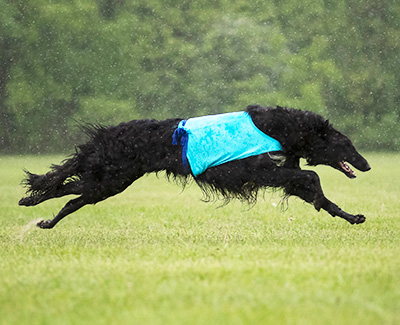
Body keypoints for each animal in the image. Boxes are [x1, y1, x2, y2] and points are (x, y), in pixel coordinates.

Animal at [18, 104, 368, 228]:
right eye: (348, 144)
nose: (366, 166)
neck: (283, 128)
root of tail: (108, 135)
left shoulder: (282, 175)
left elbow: (314, 187)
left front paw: (351, 216)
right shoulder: (262, 170)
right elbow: (312, 175)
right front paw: (331, 205)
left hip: (109, 182)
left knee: (70, 194)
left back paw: (40, 214)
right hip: (108, 180)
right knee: (66, 190)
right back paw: (34, 204)